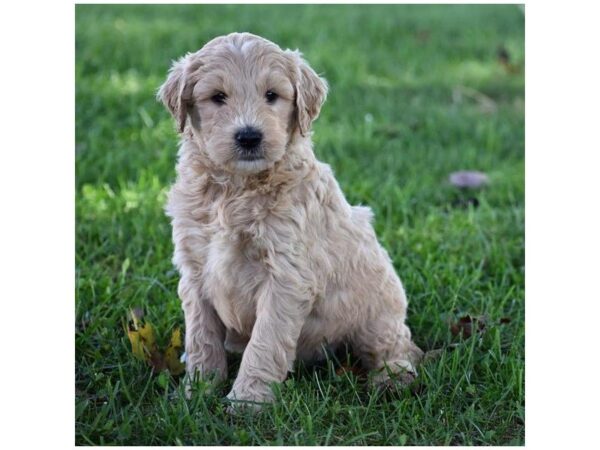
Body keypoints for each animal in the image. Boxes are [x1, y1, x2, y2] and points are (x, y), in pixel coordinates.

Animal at [159, 32, 422, 412]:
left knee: (396, 346)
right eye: (217, 97)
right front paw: (197, 391)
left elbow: (265, 341)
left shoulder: (286, 275)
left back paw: (393, 379)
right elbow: (201, 337)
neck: (235, 188)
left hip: (377, 309)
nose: (249, 136)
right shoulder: (195, 269)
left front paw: (247, 401)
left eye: (272, 95)